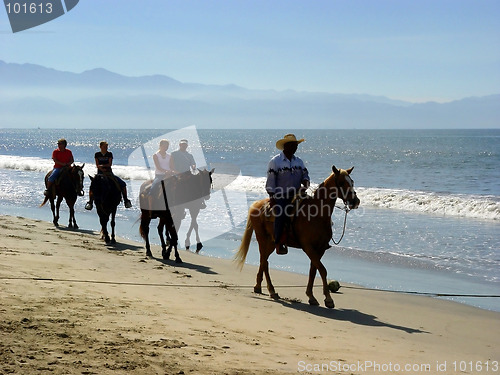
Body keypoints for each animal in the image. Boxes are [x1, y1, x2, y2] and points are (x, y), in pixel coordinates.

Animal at [234, 166, 360, 310]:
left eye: (352, 181)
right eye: (341, 182)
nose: (355, 201)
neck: (316, 214)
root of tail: (256, 205)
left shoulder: (320, 249)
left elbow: (313, 271)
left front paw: (311, 296)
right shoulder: (308, 247)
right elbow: (323, 270)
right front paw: (328, 299)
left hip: (271, 243)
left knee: (263, 261)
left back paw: (258, 287)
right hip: (263, 239)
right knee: (264, 262)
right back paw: (272, 290)